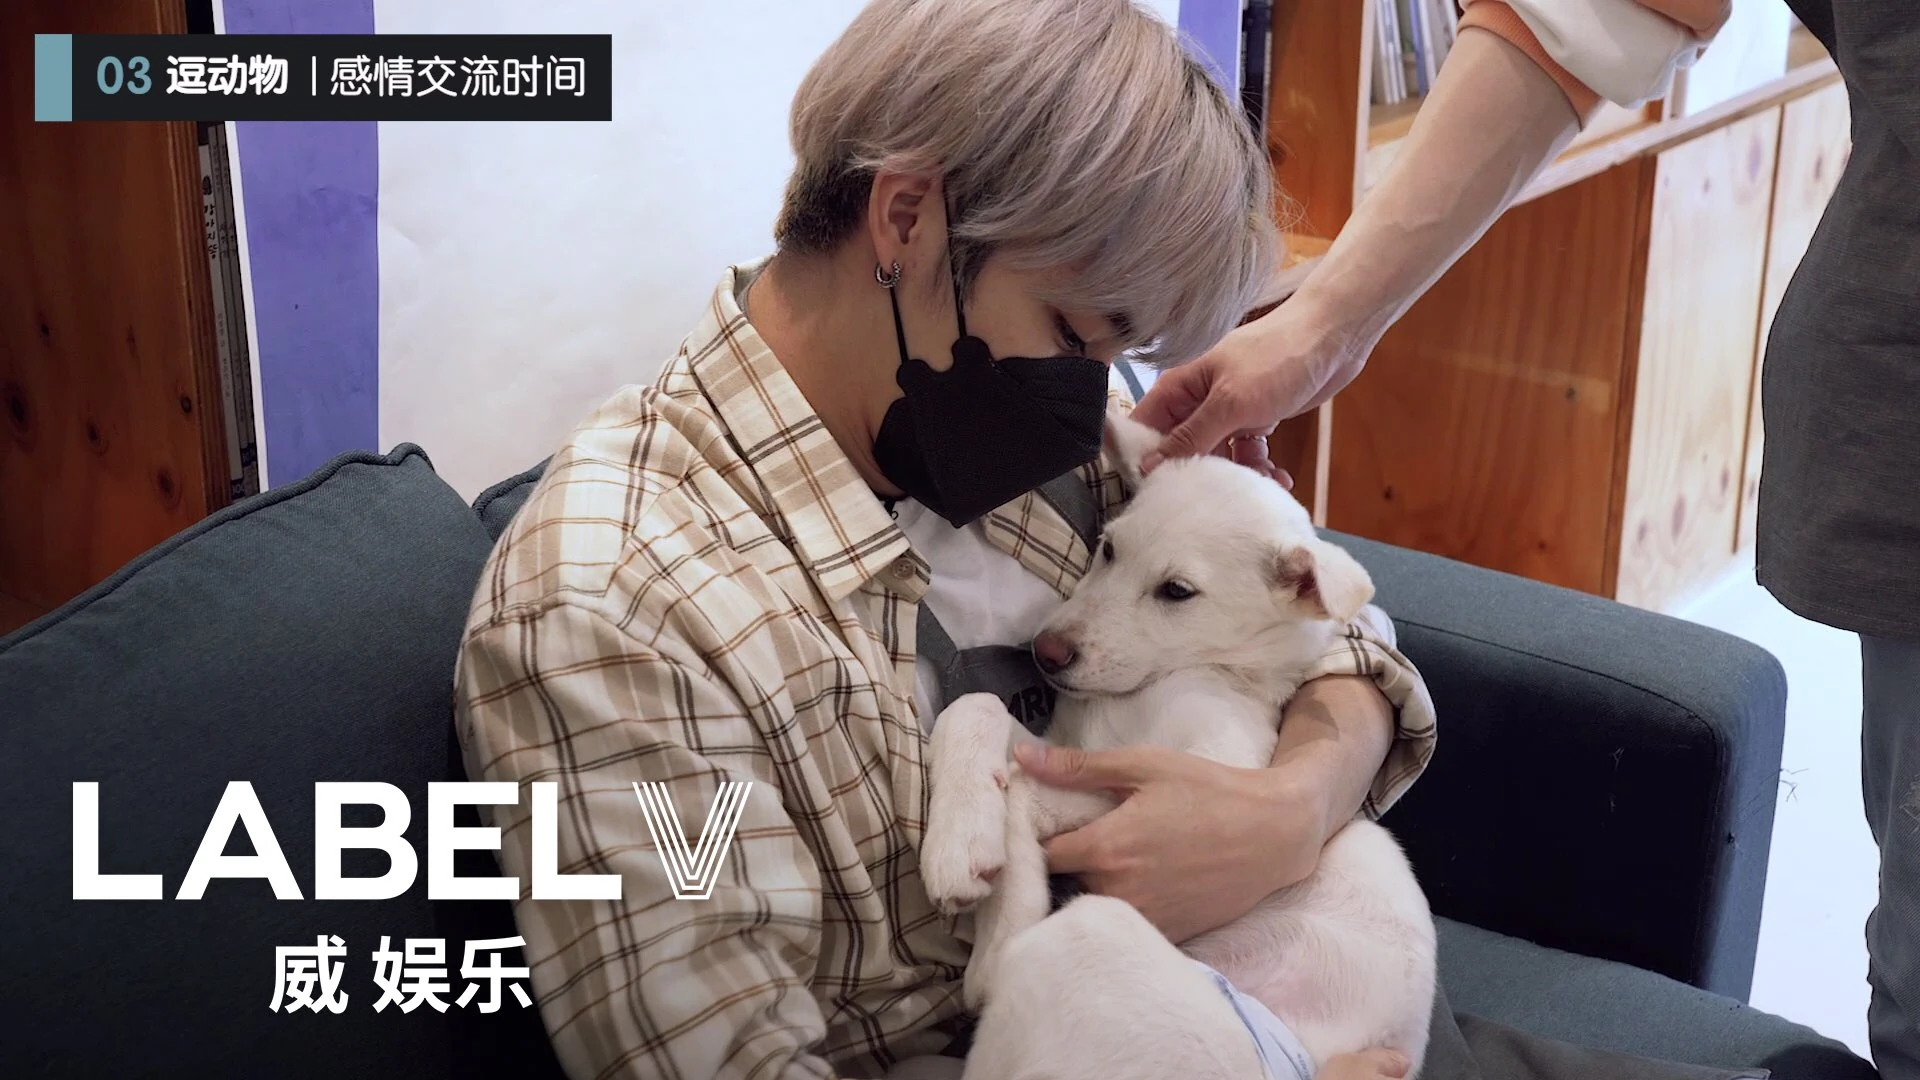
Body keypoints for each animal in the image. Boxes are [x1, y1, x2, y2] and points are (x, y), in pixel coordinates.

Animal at [916, 409, 1437, 1080]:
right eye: (1109, 548)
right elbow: (974, 706)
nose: (1044, 653)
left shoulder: (1210, 772)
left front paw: (987, 872)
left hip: (1099, 940)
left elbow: (1042, 788)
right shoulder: (1060, 738)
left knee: (1020, 958)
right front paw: (958, 833)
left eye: (1177, 592)